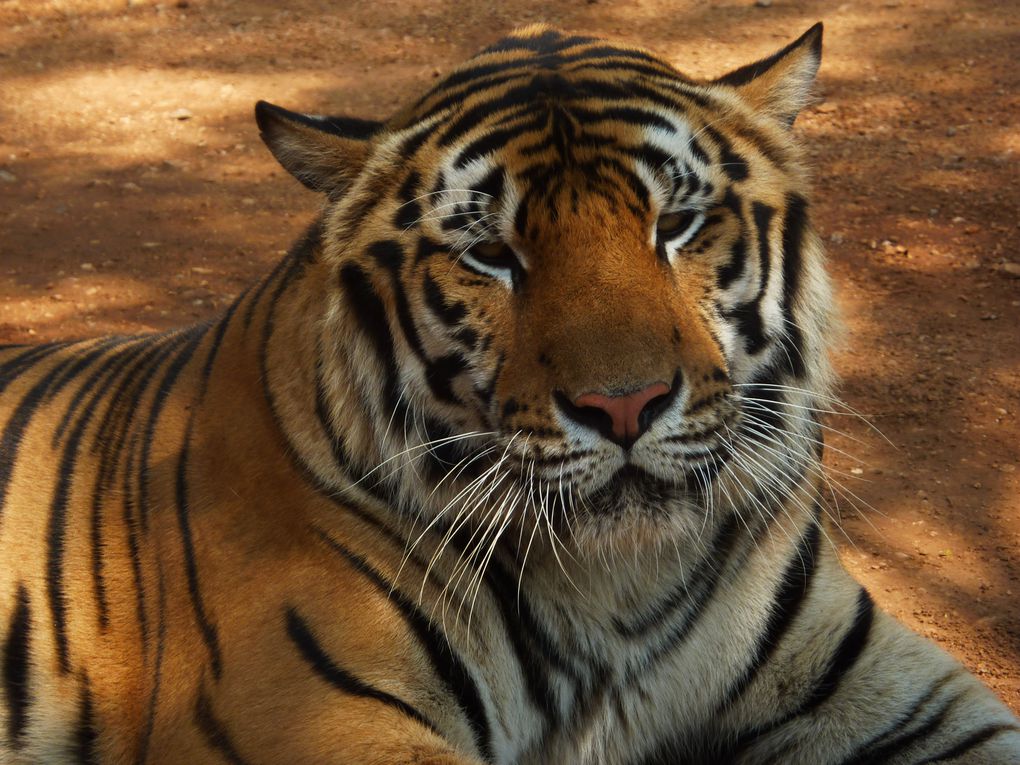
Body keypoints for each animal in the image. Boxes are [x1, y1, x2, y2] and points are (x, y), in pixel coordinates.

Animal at [1, 20, 1020, 762]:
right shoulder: (311, 714)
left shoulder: (879, 678)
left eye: (678, 225)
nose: (624, 406)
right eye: (491, 253)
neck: (622, 585)